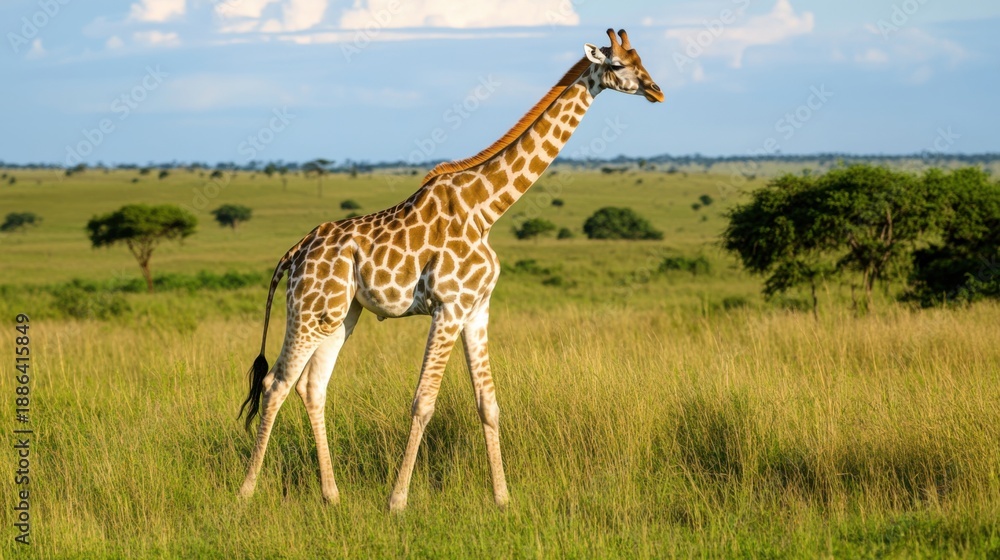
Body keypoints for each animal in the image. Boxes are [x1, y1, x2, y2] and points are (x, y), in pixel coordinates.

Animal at [238, 28, 663, 511]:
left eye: (642, 59)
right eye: (618, 65)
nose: (656, 90)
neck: (488, 208)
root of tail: (293, 253)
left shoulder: (477, 309)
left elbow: (489, 404)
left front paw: (502, 498)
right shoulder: (448, 307)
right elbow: (423, 402)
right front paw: (397, 501)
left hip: (340, 314)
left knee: (312, 386)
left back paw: (332, 495)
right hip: (308, 310)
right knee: (275, 382)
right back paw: (246, 491)